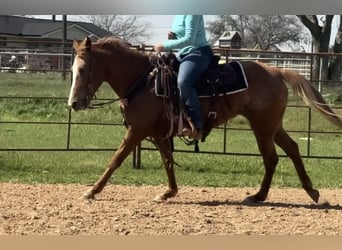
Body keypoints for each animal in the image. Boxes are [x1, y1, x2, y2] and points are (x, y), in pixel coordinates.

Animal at [67, 37, 342, 204]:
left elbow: (115, 159)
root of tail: (276, 70)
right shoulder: (158, 133)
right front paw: (168, 192)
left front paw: (92, 191)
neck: (145, 81)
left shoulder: (136, 130)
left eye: (83, 69)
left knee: (271, 158)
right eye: (72, 70)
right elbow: (167, 161)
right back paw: (313, 193)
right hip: (273, 126)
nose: (73, 103)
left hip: (263, 127)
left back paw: (258, 196)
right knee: (293, 149)